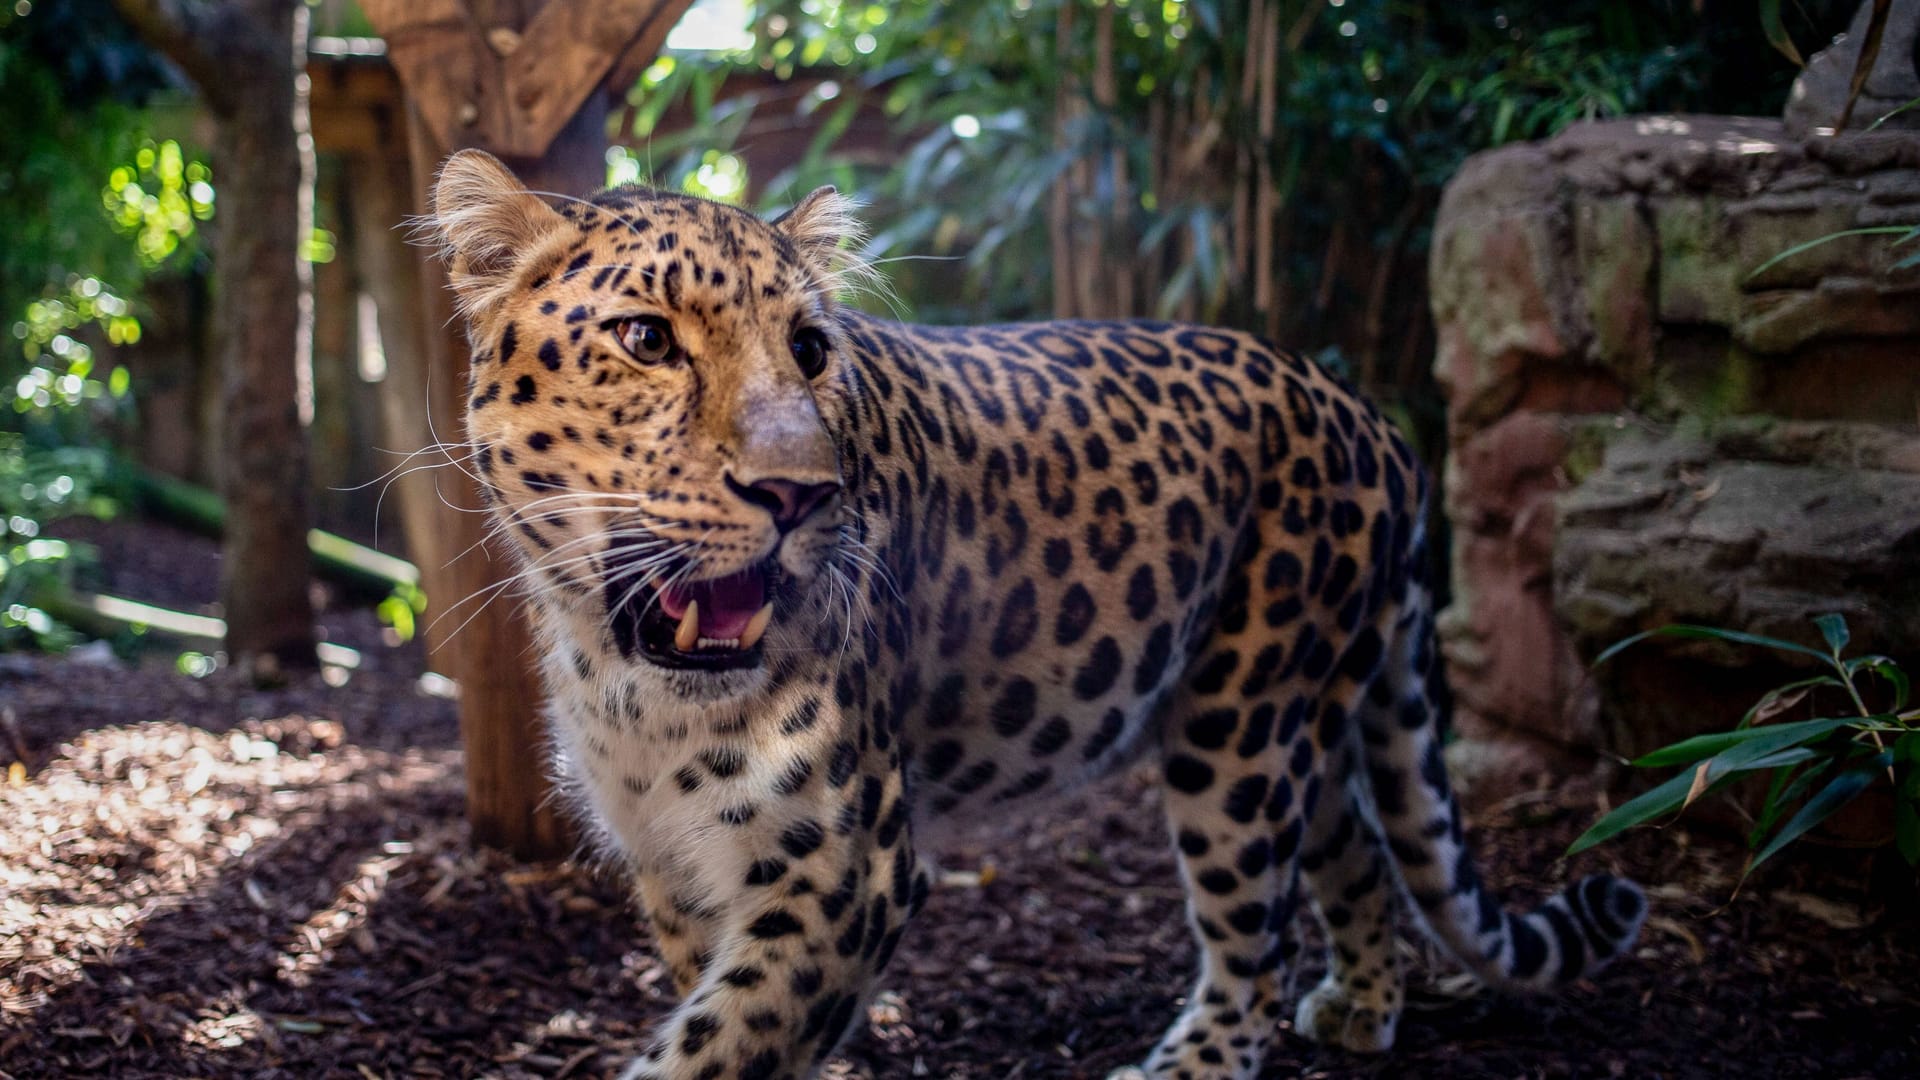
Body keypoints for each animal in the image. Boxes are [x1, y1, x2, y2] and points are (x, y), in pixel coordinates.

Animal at [424, 148, 1651, 1076]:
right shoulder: (675, 867)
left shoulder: (849, 867)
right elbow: (719, 1012)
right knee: (1355, 847)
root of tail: (1369, 416)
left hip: (1240, 726)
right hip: (1303, 711)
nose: (799, 494)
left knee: (1256, 940)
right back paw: (1362, 1005)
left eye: (811, 352)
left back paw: (1194, 1061)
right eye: (647, 340)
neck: (632, 683)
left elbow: (723, 1041)